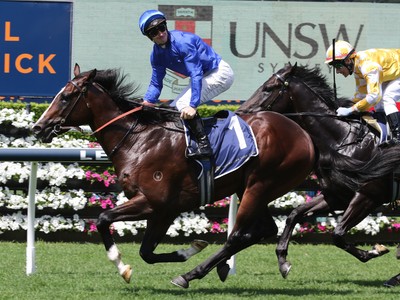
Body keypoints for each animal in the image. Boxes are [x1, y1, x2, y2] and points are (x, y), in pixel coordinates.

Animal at [33, 63, 316, 288]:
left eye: (66, 96)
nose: (38, 128)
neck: (138, 141)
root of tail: (304, 135)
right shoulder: (164, 211)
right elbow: (146, 253)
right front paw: (189, 249)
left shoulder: (153, 202)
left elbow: (103, 219)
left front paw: (122, 266)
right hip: (251, 188)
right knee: (263, 229)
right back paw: (227, 266)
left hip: (260, 184)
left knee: (237, 236)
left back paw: (192, 274)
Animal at [236, 62, 400, 286]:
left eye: (268, 88)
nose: (240, 112)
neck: (343, 141)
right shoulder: (336, 196)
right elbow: (294, 214)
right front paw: (283, 261)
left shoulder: (369, 196)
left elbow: (337, 234)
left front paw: (374, 250)